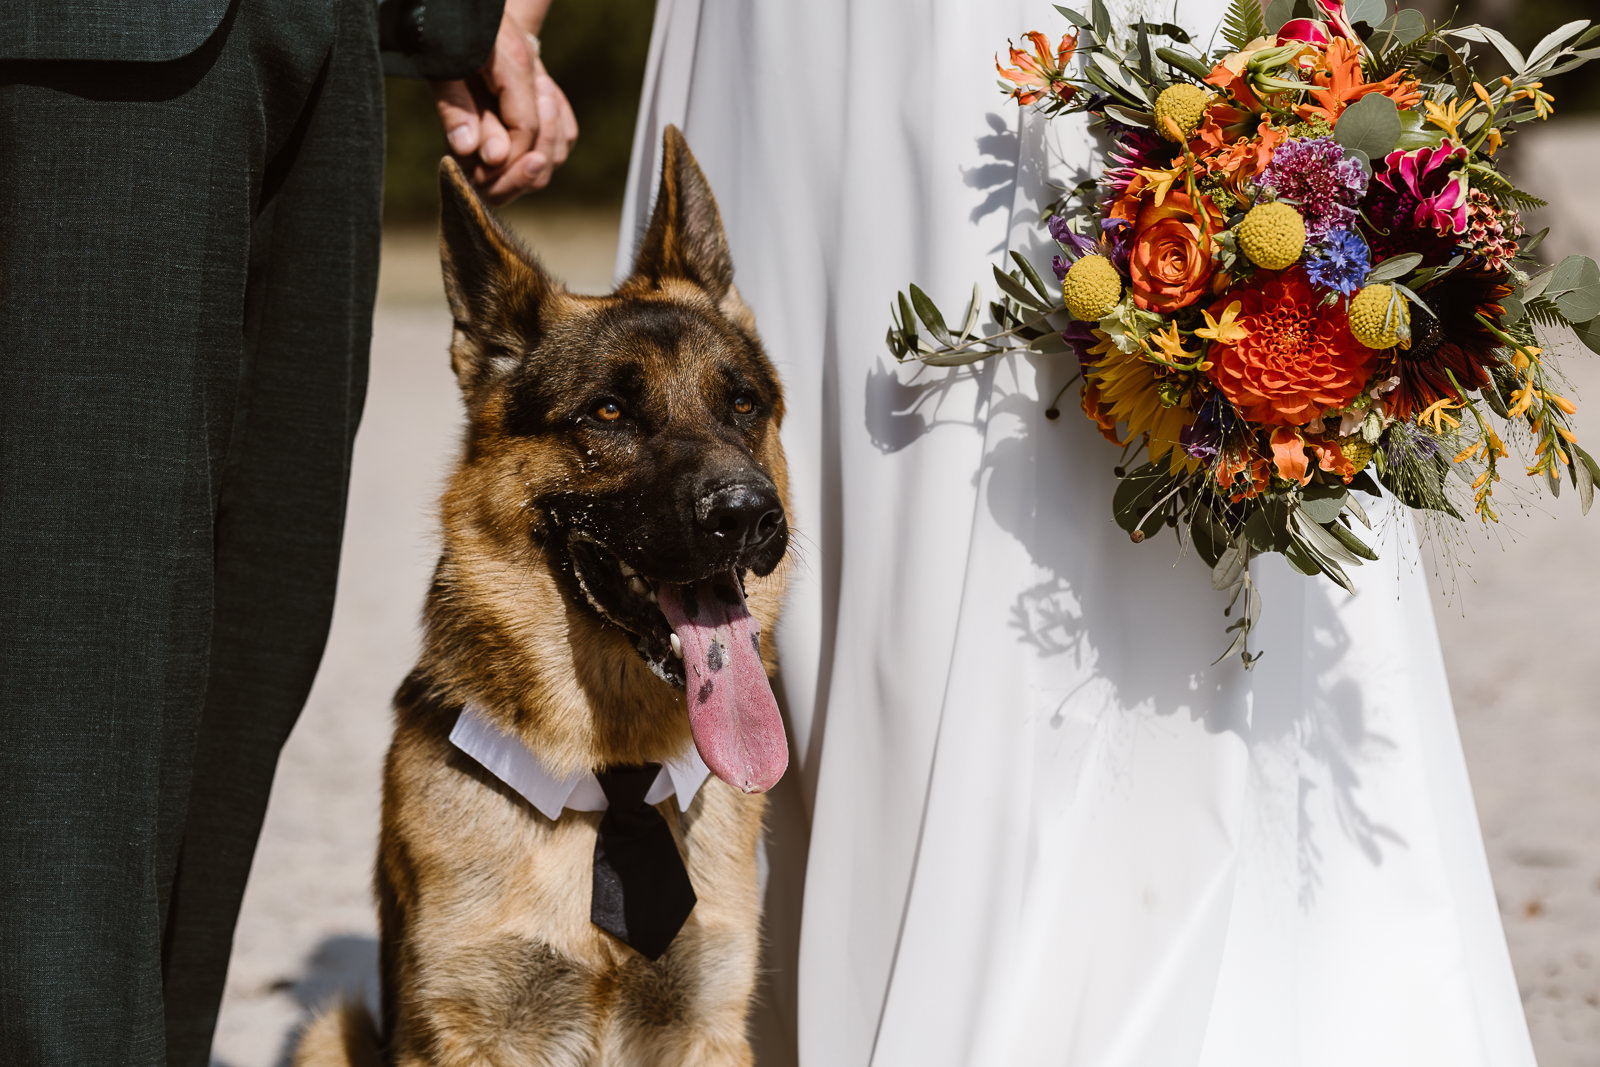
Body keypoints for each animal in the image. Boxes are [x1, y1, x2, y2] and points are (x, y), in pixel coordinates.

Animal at [296, 127, 793, 1067]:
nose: (748, 514)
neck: (615, 779)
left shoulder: (710, 1024)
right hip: (329, 1031)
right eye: (608, 413)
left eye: (744, 403)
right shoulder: (460, 1029)